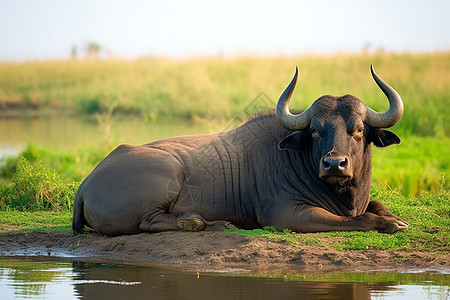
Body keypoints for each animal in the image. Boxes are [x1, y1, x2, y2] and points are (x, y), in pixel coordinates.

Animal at [73, 65, 408, 234]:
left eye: (359, 129)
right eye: (314, 131)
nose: (334, 164)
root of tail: (86, 183)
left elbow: (376, 205)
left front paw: (394, 216)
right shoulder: (287, 216)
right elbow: (360, 219)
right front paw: (391, 223)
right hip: (168, 169)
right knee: (149, 221)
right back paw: (199, 221)